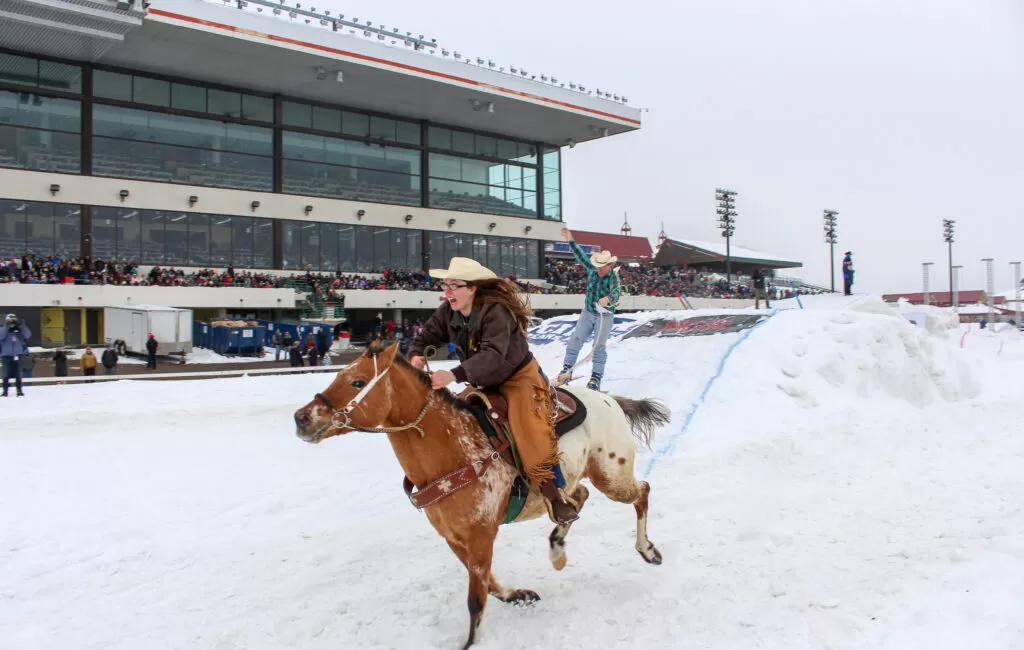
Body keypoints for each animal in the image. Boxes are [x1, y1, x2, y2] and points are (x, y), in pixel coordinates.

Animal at [293, 341, 671, 649]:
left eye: (357, 382)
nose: (301, 418)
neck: (454, 451)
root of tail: (609, 398)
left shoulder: (480, 535)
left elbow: (476, 598)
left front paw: (471, 643)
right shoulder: (454, 537)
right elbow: (487, 584)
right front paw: (517, 595)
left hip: (612, 476)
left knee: (641, 492)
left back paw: (648, 550)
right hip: (573, 482)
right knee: (577, 498)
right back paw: (557, 550)